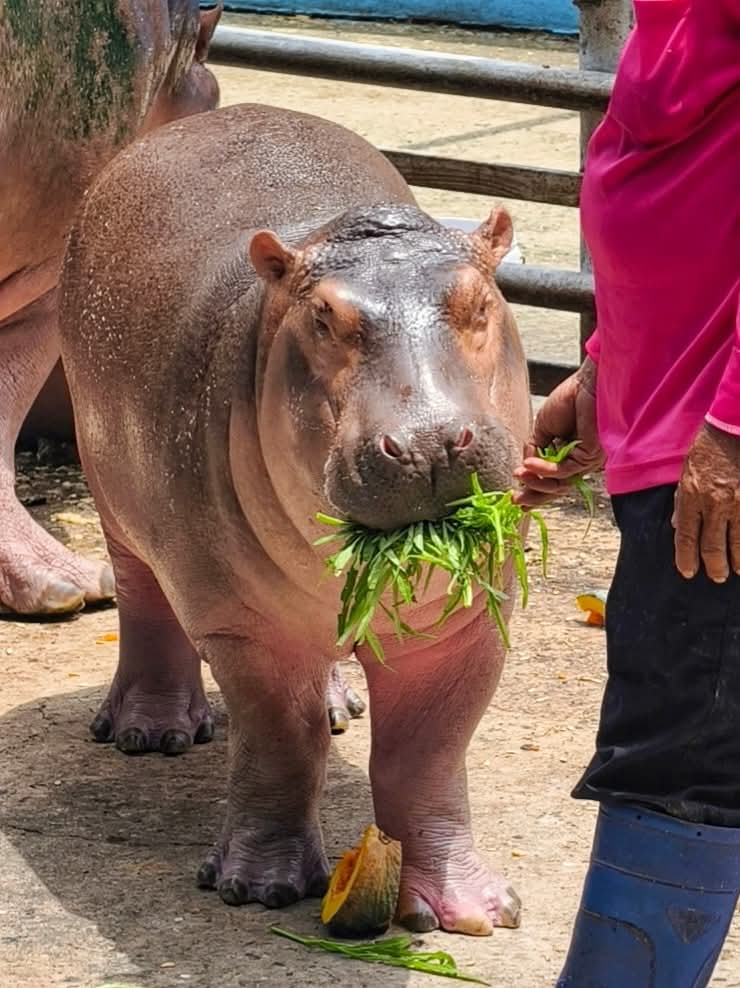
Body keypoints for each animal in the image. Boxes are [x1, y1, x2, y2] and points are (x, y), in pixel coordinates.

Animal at [59, 103, 531, 935]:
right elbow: (283, 738)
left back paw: (342, 698)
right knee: (144, 599)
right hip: (113, 492)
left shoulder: (469, 624)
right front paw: (259, 888)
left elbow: (427, 753)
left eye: (481, 302)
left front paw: (472, 913)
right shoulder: (245, 626)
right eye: (321, 318)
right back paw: (151, 732)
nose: (429, 442)